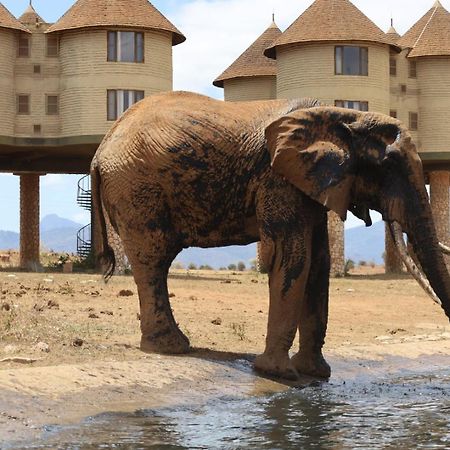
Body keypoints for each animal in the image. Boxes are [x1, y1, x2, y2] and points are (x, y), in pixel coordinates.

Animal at [90, 90, 450, 380]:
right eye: (387, 167)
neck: (343, 116)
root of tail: (101, 148)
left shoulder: (310, 182)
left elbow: (319, 262)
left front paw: (316, 374)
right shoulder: (278, 178)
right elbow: (293, 256)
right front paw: (278, 374)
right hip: (136, 189)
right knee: (153, 260)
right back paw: (171, 348)